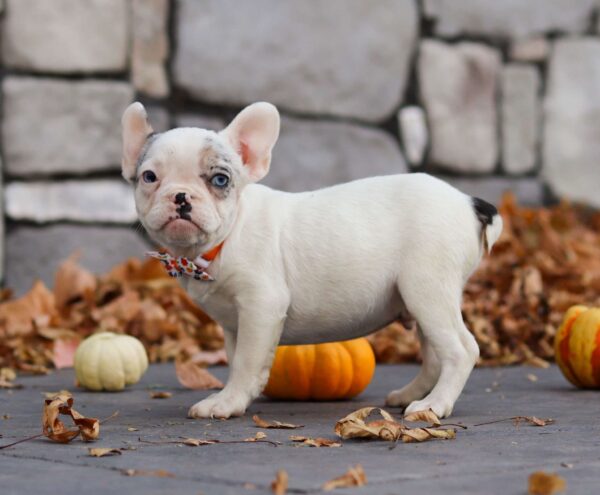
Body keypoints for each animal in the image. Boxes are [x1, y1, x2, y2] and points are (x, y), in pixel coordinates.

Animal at [120, 101, 502, 418]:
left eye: (220, 179)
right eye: (149, 177)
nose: (180, 197)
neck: (218, 244)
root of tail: (468, 202)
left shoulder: (261, 306)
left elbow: (246, 361)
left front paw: (227, 403)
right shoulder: (234, 322)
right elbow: (235, 358)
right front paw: (235, 395)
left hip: (426, 289)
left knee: (461, 350)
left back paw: (434, 406)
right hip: (421, 302)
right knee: (436, 355)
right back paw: (412, 395)